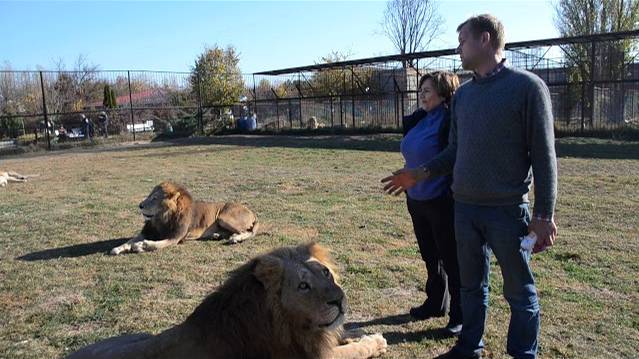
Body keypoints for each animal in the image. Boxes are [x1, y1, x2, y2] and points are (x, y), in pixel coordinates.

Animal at [70, 242, 390, 359]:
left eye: (325, 272)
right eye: (302, 286)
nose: (339, 300)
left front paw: (358, 331)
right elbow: (355, 350)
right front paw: (374, 340)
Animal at [110, 181, 258, 255]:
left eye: (155, 198)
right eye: (149, 195)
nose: (140, 205)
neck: (162, 218)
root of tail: (251, 211)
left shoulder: (175, 237)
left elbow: (155, 245)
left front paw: (141, 246)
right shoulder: (148, 231)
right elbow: (130, 240)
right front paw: (119, 248)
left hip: (223, 217)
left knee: (248, 232)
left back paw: (235, 238)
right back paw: (216, 235)